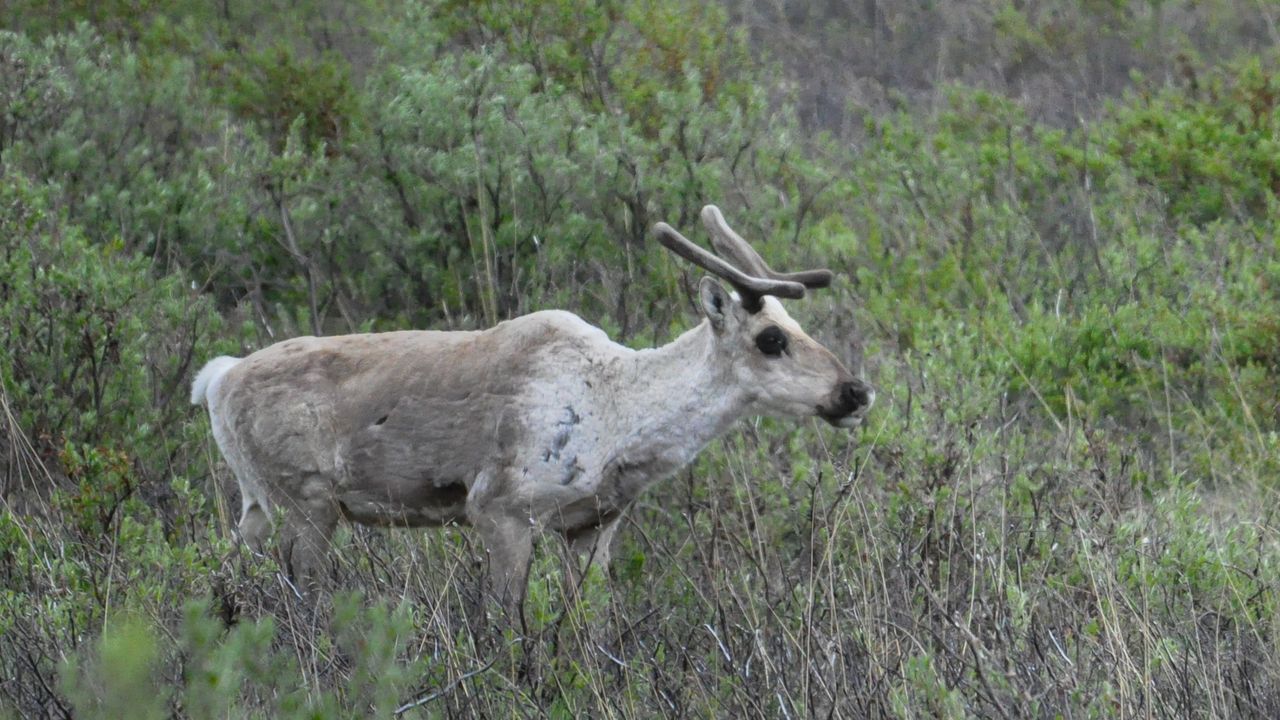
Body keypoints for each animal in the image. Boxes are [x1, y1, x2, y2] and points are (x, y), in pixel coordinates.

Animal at [190, 205, 874, 610]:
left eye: (799, 324)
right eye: (771, 338)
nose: (856, 392)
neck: (622, 419)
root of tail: (216, 381)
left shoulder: (593, 525)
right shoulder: (499, 507)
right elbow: (503, 625)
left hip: (257, 504)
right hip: (304, 501)